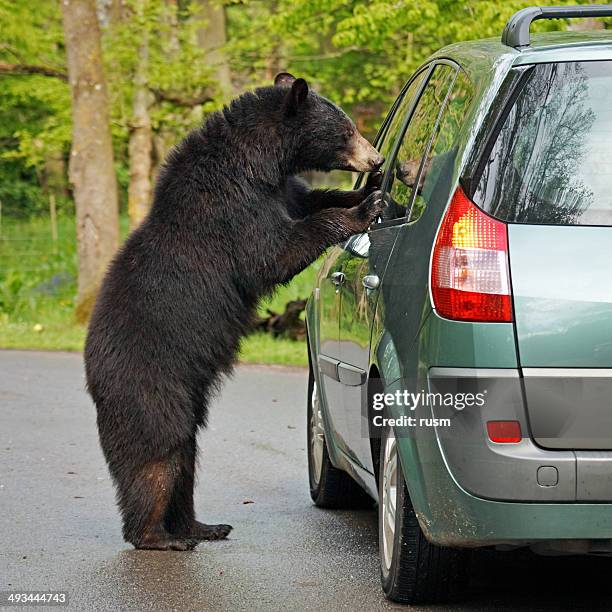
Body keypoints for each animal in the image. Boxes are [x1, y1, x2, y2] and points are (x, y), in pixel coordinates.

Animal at [84, 71, 384, 548]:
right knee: (159, 454)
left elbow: (312, 199)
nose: (375, 159)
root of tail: (92, 373)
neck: (258, 164)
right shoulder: (232, 208)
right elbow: (273, 252)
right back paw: (158, 535)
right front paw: (364, 208)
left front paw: (366, 193)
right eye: (346, 131)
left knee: (185, 459)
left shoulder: (283, 189)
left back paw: (203, 525)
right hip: (150, 385)